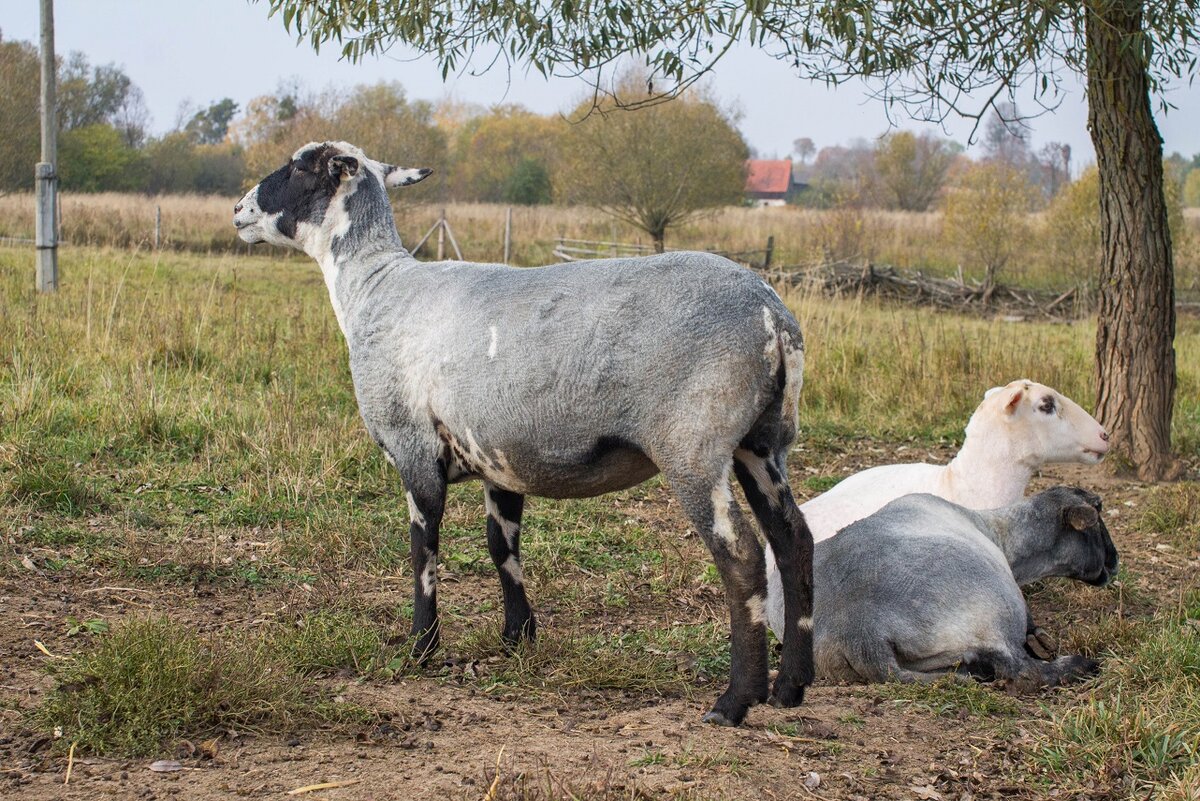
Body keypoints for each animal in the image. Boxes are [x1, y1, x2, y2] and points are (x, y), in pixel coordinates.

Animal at [231, 142, 816, 724]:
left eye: (298, 166)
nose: (237, 210)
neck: (375, 288)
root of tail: (773, 317)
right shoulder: (499, 457)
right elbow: (502, 546)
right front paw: (518, 636)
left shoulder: (413, 446)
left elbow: (424, 549)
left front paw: (421, 646)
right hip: (762, 443)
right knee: (794, 539)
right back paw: (792, 684)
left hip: (694, 443)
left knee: (742, 556)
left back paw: (736, 699)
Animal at [816, 484, 1113, 685]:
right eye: (1098, 509)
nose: (1115, 562)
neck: (998, 531)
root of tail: (861, 633)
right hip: (992, 614)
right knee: (1023, 671)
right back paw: (1079, 665)